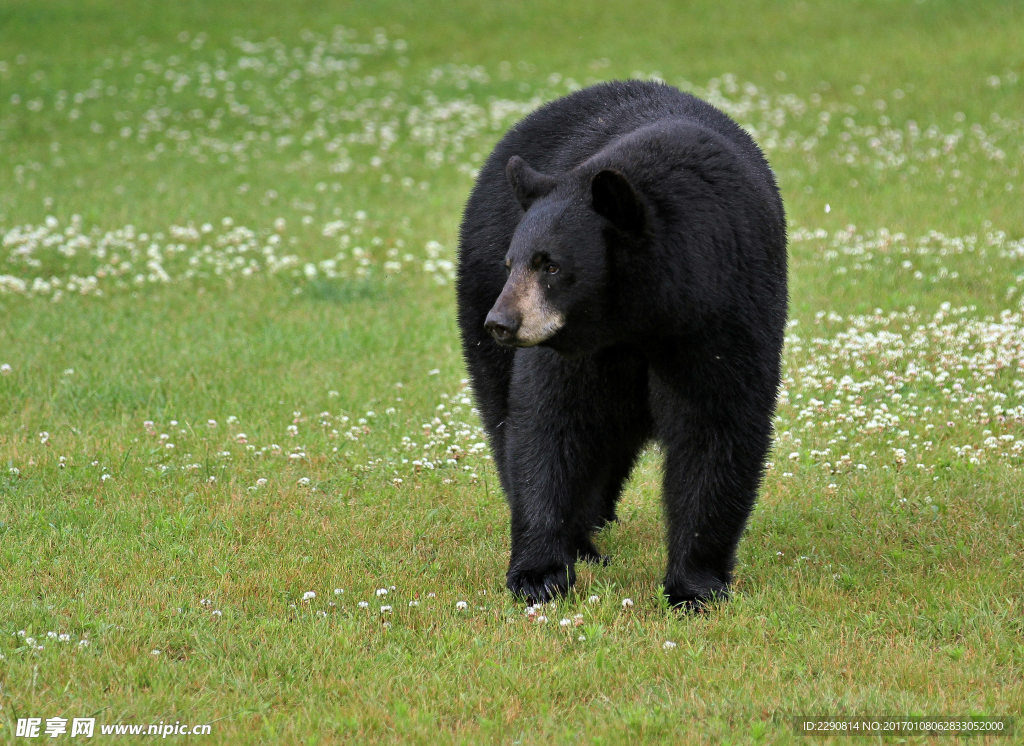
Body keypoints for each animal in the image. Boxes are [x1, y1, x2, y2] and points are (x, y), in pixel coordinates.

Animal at [456, 80, 787, 610]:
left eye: (551, 265)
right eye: (514, 262)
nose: (502, 322)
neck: (641, 314)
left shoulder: (727, 307)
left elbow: (717, 422)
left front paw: (695, 586)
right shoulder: (572, 342)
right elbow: (550, 419)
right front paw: (540, 572)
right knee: (508, 411)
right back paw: (582, 539)